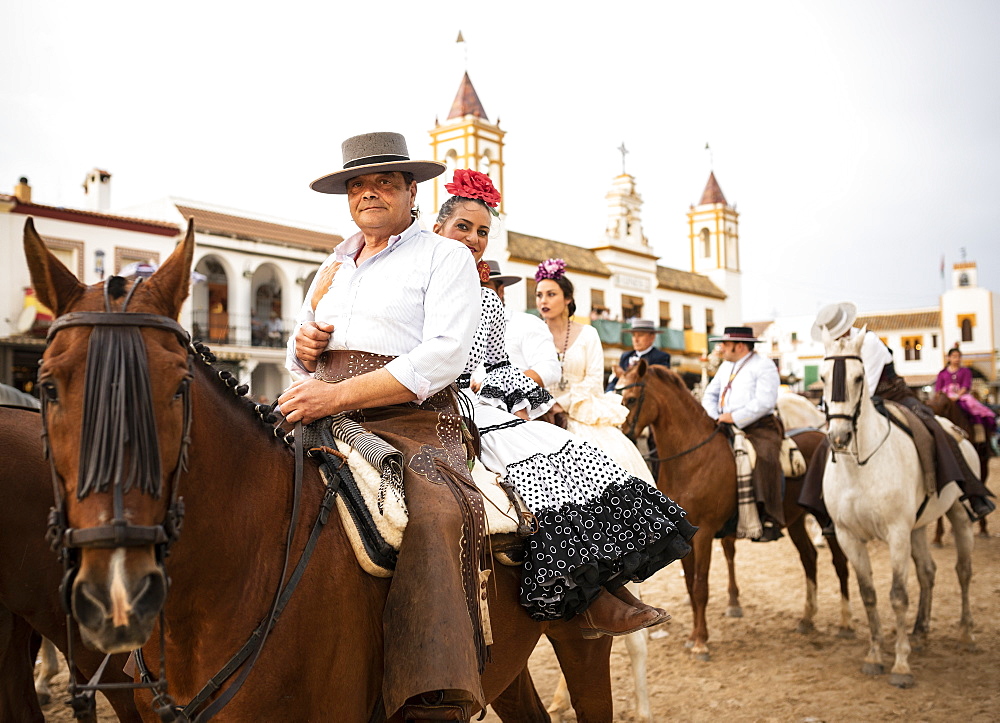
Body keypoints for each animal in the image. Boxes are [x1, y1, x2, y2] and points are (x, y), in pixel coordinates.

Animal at [616, 362, 852, 660]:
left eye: (630, 399)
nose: (621, 434)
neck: (692, 459)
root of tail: (823, 436)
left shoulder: (704, 535)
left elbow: (700, 587)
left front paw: (701, 642)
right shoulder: (683, 539)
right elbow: (690, 586)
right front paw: (693, 636)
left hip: (826, 518)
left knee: (840, 563)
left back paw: (845, 623)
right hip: (795, 520)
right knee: (809, 558)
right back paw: (807, 619)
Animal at [820, 330, 976, 688]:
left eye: (859, 377)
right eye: (823, 377)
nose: (839, 437)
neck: (859, 467)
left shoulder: (896, 534)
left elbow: (897, 595)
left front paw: (901, 665)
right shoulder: (849, 537)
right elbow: (869, 594)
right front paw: (875, 655)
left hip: (958, 517)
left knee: (962, 570)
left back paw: (964, 633)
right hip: (918, 527)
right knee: (928, 571)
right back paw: (920, 632)